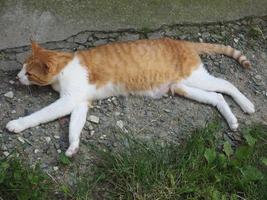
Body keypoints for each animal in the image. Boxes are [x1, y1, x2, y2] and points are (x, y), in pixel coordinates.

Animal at [6, 38, 255, 156]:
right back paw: (232, 121)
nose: (17, 76)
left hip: (195, 77)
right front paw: (73, 147)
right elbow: (74, 127)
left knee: (227, 85)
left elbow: (41, 114)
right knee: (217, 97)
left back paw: (247, 105)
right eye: (22, 67)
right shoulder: (80, 102)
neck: (64, 68)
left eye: (29, 73)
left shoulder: (68, 100)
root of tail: (178, 40)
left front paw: (17, 124)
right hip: (182, 86)